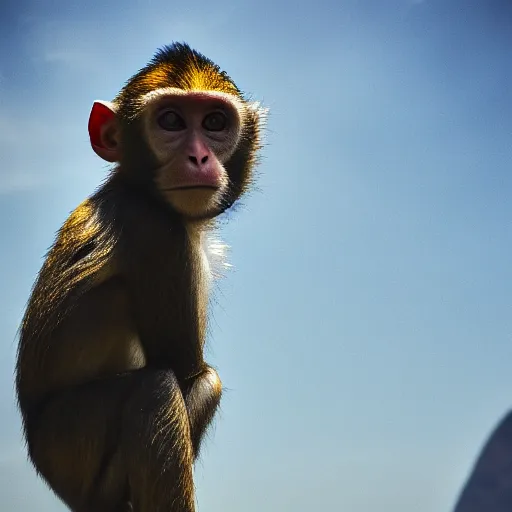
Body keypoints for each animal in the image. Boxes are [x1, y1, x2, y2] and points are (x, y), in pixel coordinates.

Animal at [16, 44, 264, 512]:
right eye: (170, 121)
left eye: (214, 123)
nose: (199, 158)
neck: (135, 187)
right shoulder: (157, 233)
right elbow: (186, 372)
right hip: (78, 449)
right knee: (166, 387)